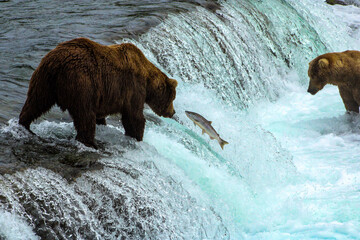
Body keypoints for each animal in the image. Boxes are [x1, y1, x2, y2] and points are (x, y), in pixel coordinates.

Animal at [19, 37, 178, 148]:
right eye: (173, 98)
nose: (173, 112)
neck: (147, 78)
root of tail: (57, 62)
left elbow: (102, 115)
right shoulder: (133, 87)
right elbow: (134, 116)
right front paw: (137, 136)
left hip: (44, 79)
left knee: (35, 102)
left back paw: (25, 125)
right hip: (82, 82)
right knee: (85, 115)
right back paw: (90, 143)